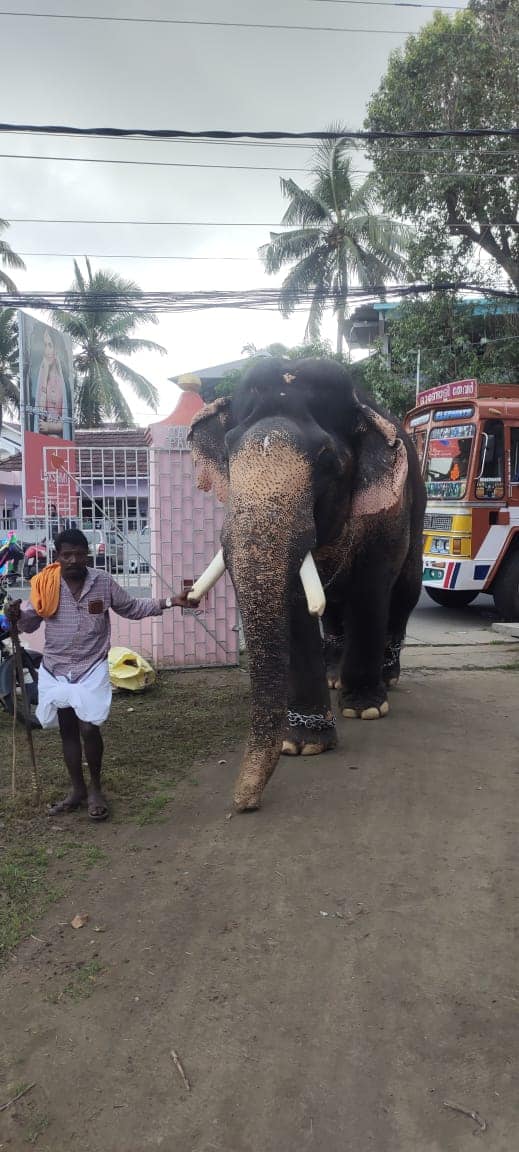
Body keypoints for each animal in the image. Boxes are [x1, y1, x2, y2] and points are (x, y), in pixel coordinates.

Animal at [186, 354, 425, 815]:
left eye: (326, 459)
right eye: (227, 452)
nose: (243, 803)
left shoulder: (388, 513)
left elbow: (371, 589)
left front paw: (365, 711)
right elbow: (297, 601)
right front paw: (303, 745)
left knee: (403, 593)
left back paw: (385, 681)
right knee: (332, 606)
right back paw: (334, 677)